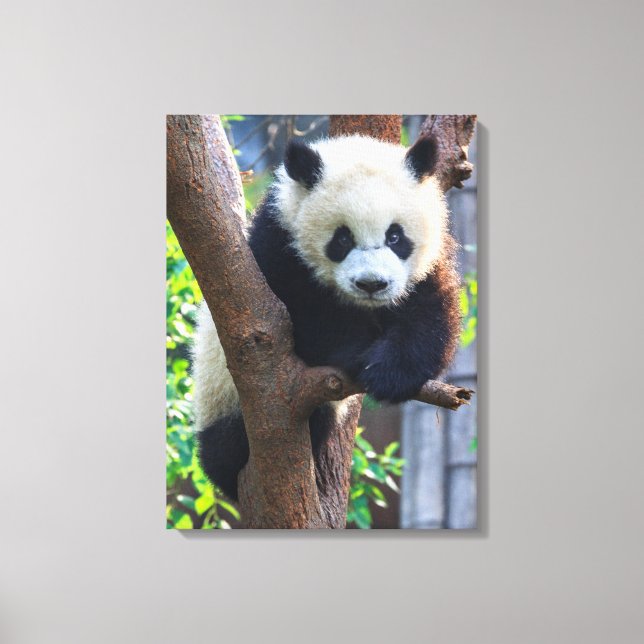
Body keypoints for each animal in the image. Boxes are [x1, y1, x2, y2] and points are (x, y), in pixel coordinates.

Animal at [192, 134, 462, 501]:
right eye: (342, 238)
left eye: (395, 236)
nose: (372, 284)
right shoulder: (277, 250)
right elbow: (303, 319)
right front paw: (358, 355)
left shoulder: (427, 264)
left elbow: (430, 314)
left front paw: (390, 373)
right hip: (221, 397)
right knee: (228, 446)